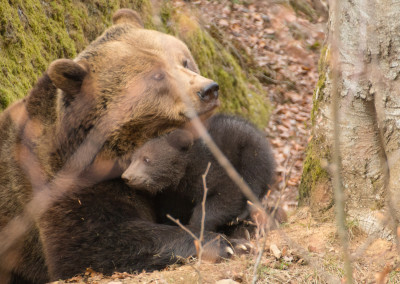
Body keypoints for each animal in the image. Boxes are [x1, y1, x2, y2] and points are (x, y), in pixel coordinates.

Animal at [0, 8, 236, 284]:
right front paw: (219, 242)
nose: (208, 89)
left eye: (184, 60)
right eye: (157, 75)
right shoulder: (61, 180)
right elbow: (90, 243)